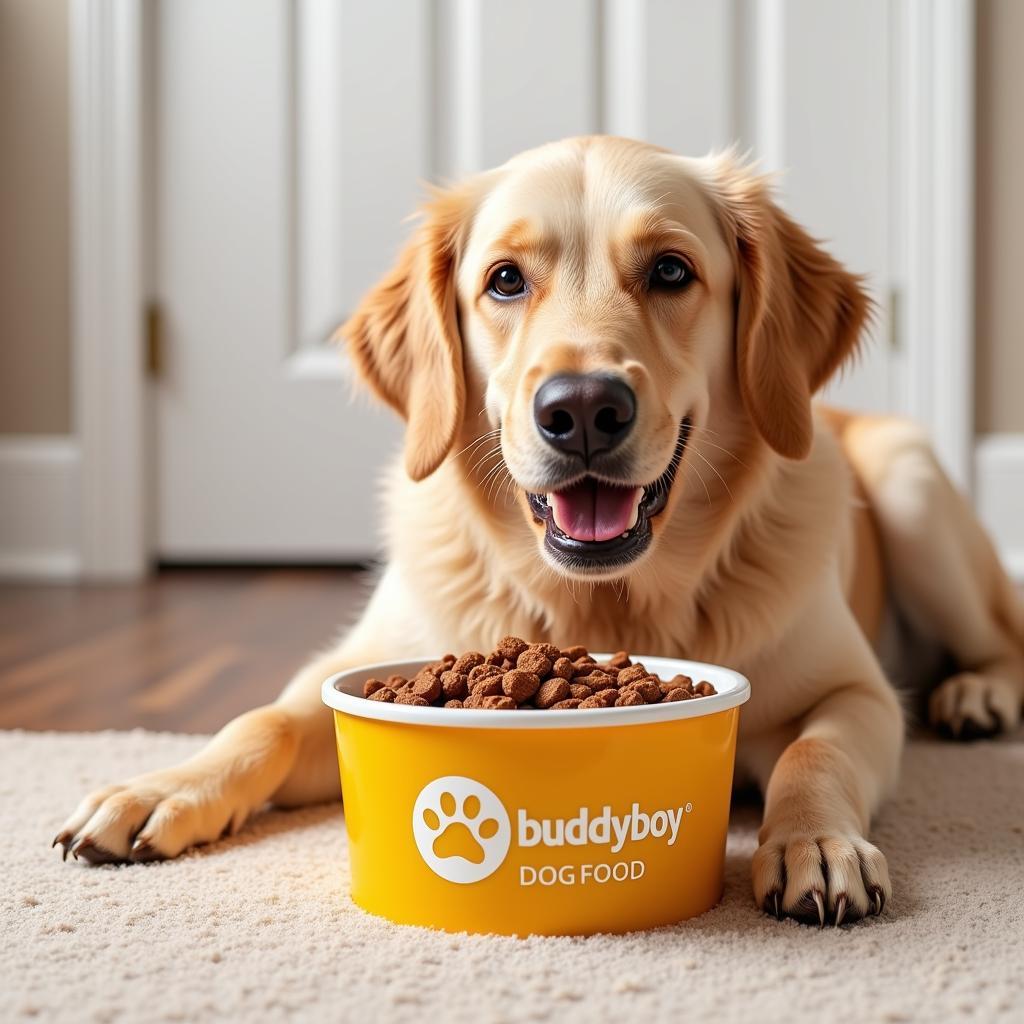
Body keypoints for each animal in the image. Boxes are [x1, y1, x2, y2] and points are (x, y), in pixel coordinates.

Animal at [56, 138, 1024, 929]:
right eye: (505, 280)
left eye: (671, 271)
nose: (584, 409)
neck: (605, 602)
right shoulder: (348, 672)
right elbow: (262, 721)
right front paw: (158, 789)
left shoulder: (860, 694)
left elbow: (812, 754)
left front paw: (814, 845)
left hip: (908, 482)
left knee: (1001, 641)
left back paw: (977, 694)